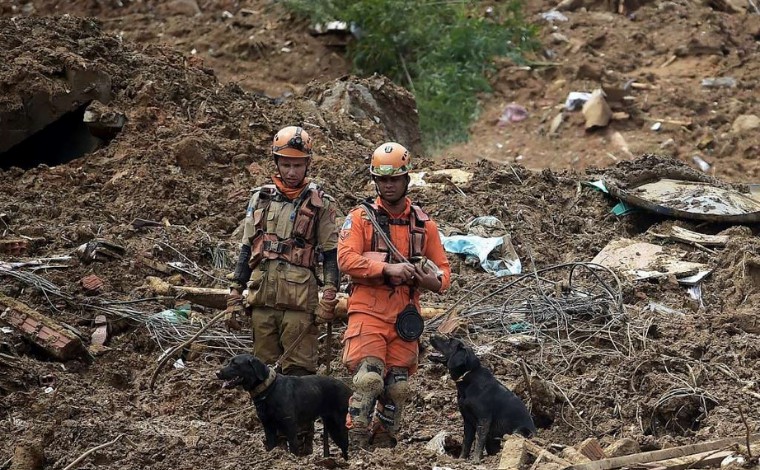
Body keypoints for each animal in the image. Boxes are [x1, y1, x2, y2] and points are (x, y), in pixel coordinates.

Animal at [218, 352, 352, 458]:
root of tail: (348, 388)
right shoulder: (268, 426)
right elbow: (271, 445)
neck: (269, 389)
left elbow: (293, 448)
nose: (216, 372)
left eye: (235, 364)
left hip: (339, 426)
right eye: (229, 362)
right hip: (331, 426)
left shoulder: (290, 427)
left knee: (345, 448)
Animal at [430, 336, 536, 464]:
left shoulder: (484, 419)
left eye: (449, 341)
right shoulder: (467, 420)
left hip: (520, 431)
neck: (468, 378)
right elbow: (466, 442)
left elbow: (479, 442)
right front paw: (461, 459)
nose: (431, 336)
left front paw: (475, 460)